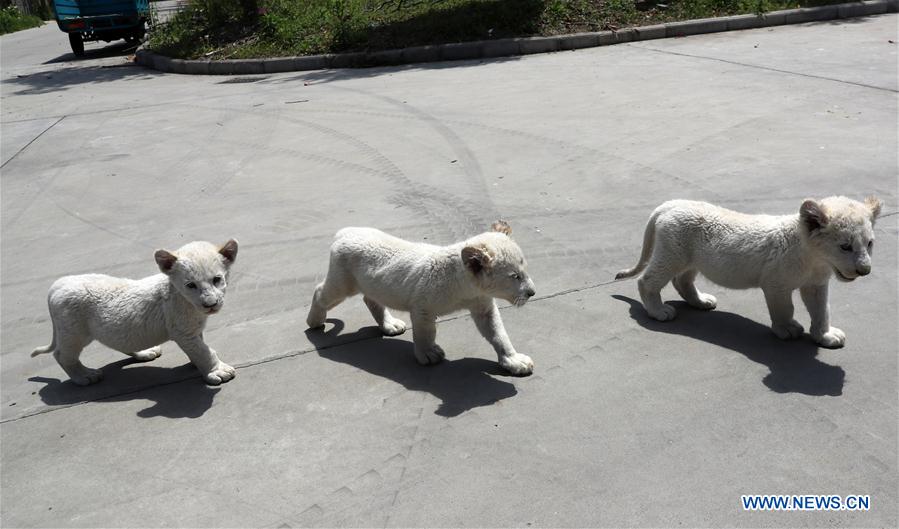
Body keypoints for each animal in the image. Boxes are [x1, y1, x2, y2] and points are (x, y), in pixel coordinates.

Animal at [306, 221, 538, 374]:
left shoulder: (483, 307)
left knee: (370, 299)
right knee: (320, 292)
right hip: (342, 283)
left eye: (524, 268)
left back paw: (389, 325)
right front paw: (428, 354)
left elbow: (499, 334)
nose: (532, 292)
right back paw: (314, 321)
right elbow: (425, 333)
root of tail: (345, 231)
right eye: (515, 276)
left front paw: (514, 361)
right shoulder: (422, 308)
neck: (467, 288)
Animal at [615, 196, 882, 348]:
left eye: (869, 243)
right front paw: (787, 329)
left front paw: (826, 336)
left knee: (682, 281)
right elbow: (785, 309)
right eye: (845, 246)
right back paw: (659, 311)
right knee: (647, 280)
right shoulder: (775, 284)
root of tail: (671, 204)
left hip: (690, 260)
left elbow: (821, 310)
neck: (816, 260)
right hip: (672, 253)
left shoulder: (816, 284)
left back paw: (702, 302)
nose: (864, 270)